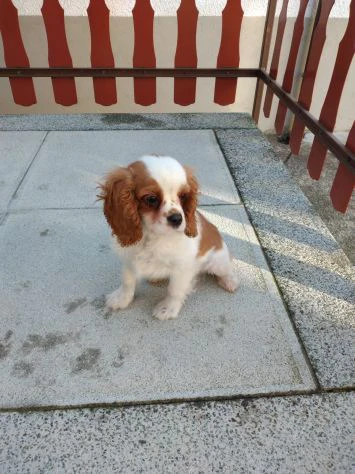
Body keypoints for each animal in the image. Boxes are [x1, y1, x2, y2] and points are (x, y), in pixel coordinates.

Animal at [98, 154, 241, 320]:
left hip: (218, 262)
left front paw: (168, 308)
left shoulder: (182, 268)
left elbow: (174, 290)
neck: (153, 236)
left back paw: (229, 281)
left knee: (227, 269)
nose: (177, 219)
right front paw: (122, 298)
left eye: (183, 196)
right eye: (151, 199)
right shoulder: (129, 260)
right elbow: (127, 281)